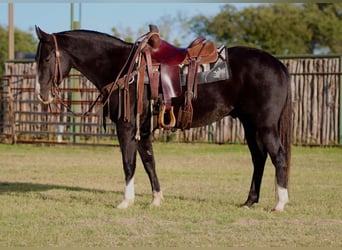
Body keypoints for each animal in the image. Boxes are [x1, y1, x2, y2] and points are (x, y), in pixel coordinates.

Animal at [34, 26, 292, 211]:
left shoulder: (126, 127)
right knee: (259, 159)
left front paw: (126, 201)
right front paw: (156, 199)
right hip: (250, 125)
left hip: (265, 126)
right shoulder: (143, 130)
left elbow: (129, 163)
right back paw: (249, 201)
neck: (124, 68)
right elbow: (149, 162)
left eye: (45, 59)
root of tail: (279, 65)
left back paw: (280, 203)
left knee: (277, 157)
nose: (42, 94)